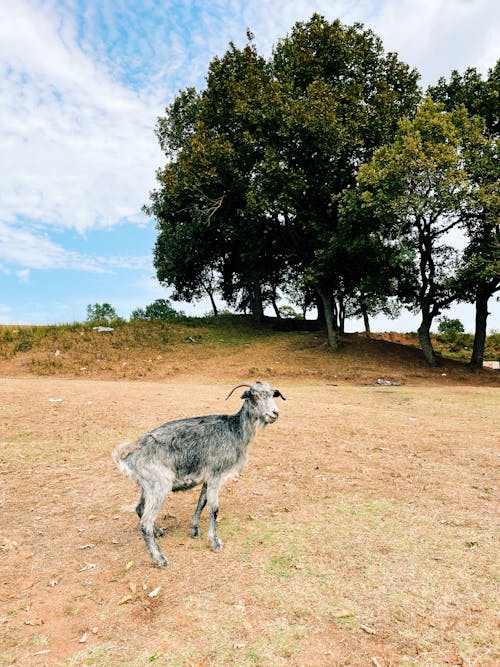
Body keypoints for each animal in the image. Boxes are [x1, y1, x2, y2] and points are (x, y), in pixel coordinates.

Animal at [113, 384, 286, 568]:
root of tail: (126, 452)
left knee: (139, 508)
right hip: (159, 485)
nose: (275, 413)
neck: (236, 430)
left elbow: (202, 502)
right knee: (145, 522)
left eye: (272, 394)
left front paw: (194, 529)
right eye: (254, 396)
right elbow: (214, 509)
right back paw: (160, 558)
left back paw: (158, 531)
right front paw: (215, 542)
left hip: (147, 486)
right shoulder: (216, 475)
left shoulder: (207, 478)